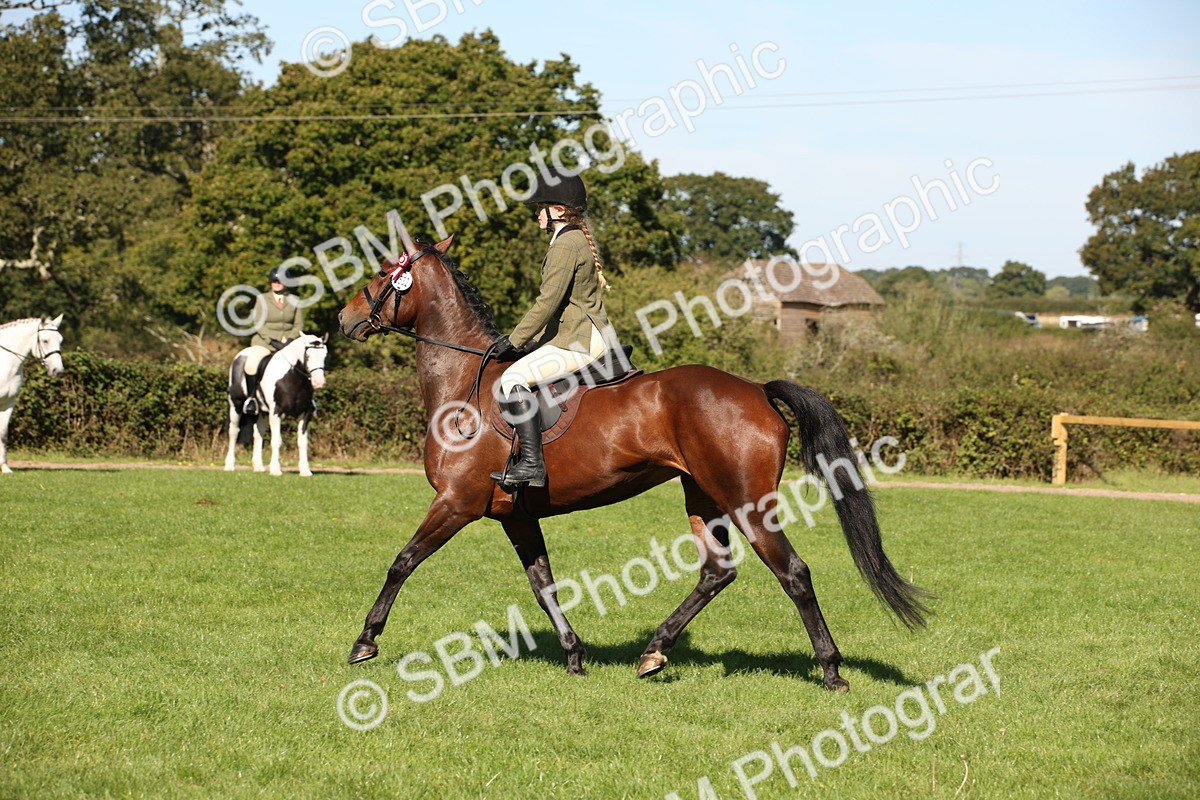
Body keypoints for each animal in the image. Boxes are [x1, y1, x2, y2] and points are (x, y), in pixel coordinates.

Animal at [0, 315, 65, 475]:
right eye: (45, 340)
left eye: (60, 340)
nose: (58, 370)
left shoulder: (9, 403)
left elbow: (3, 433)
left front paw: (5, 468)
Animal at [224, 333, 328, 477]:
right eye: (307, 356)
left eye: (325, 355)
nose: (319, 382)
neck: (293, 378)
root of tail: (240, 356)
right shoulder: (275, 413)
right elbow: (276, 441)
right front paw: (275, 469)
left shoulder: (305, 414)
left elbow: (302, 442)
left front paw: (305, 470)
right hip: (236, 405)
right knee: (233, 431)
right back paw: (229, 465)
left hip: (262, 412)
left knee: (258, 434)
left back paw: (258, 467)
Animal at [337, 236, 930, 692]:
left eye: (384, 273)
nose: (343, 318)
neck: (466, 385)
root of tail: (757, 390)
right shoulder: (515, 515)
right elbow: (544, 584)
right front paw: (574, 656)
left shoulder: (455, 503)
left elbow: (401, 562)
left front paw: (365, 642)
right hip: (703, 495)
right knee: (717, 571)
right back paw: (654, 652)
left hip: (747, 501)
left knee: (793, 572)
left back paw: (831, 671)